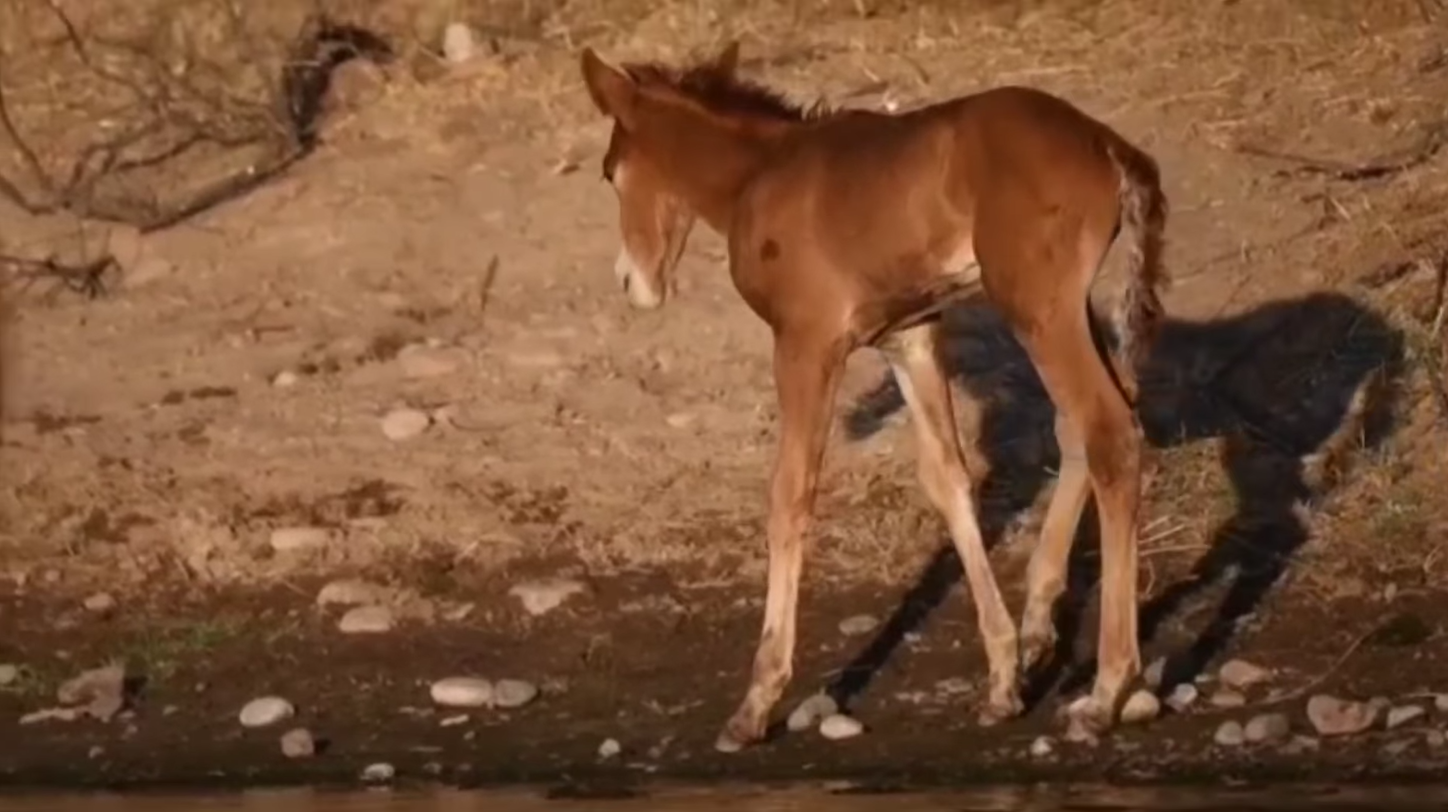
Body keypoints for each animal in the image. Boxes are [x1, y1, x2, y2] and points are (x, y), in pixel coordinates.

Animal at [576, 39, 1164, 746]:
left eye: (610, 171)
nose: (630, 282)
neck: (760, 175)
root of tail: (1108, 146)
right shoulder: (907, 337)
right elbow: (950, 480)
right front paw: (1001, 681)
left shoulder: (806, 342)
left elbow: (790, 495)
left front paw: (756, 703)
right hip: (1064, 311)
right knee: (1082, 426)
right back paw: (1040, 630)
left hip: (1039, 307)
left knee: (1109, 432)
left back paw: (1107, 690)